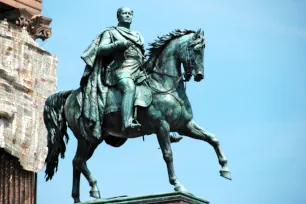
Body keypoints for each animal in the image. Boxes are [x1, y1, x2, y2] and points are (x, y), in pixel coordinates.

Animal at [42, 28, 230, 202]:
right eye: (196, 49)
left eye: (203, 49)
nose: (199, 75)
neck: (163, 84)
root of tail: (71, 95)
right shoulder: (162, 125)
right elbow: (168, 154)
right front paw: (177, 184)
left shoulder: (185, 126)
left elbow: (213, 138)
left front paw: (225, 169)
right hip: (86, 137)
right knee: (79, 161)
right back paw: (94, 189)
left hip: (94, 139)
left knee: (77, 162)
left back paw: (78, 198)